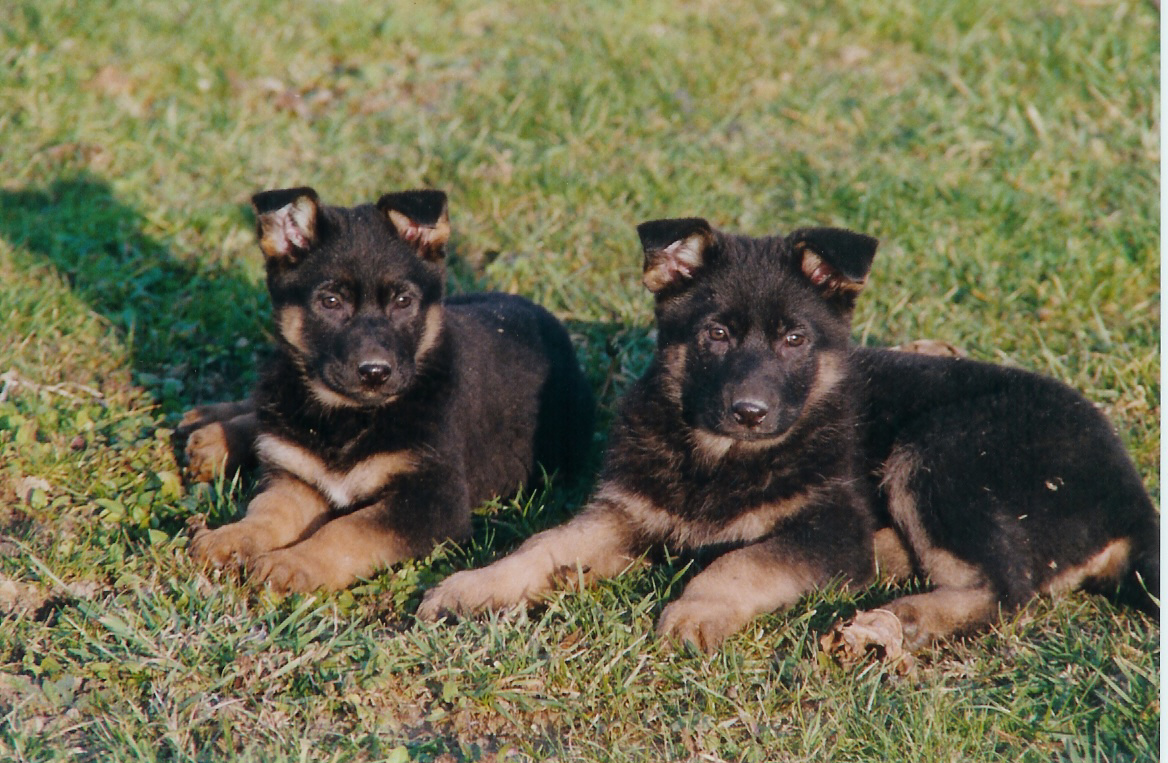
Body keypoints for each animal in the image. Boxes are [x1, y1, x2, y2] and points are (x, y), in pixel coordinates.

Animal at [190, 186, 598, 591]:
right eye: (330, 301)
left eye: (403, 302)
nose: (375, 372)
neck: (347, 417)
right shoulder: (295, 477)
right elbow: (266, 514)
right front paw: (229, 536)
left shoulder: (432, 500)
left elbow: (346, 531)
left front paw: (292, 563)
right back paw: (211, 430)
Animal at [415, 217, 1153, 649]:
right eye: (715, 334)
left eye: (795, 339)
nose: (749, 410)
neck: (718, 456)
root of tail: (1134, 501)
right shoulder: (623, 513)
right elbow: (542, 544)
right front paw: (474, 586)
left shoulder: (826, 525)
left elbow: (743, 560)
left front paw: (696, 611)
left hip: (943, 449)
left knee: (1002, 590)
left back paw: (895, 621)